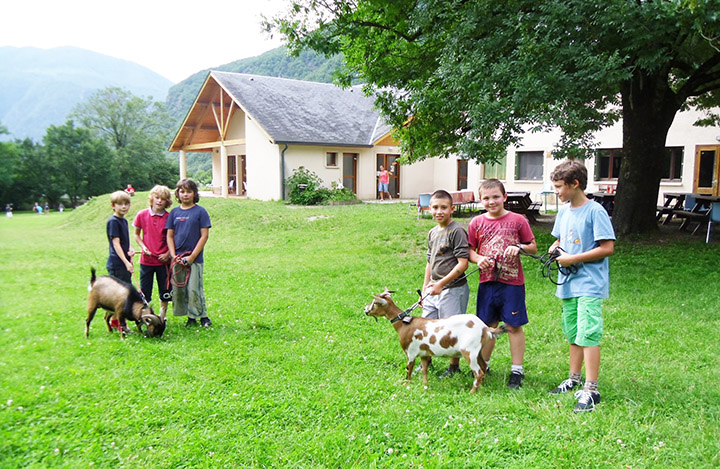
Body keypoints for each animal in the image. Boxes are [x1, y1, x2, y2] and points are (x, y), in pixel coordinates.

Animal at [366, 288, 506, 392]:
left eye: (375, 303)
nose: (365, 309)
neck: (404, 324)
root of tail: (485, 328)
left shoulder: (410, 353)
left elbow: (409, 369)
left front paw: (406, 384)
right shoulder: (424, 354)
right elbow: (424, 370)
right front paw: (425, 385)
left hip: (469, 352)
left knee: (478, 372)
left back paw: (472, 392)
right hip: (478, 352)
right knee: (484, 367)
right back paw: (481, 387)